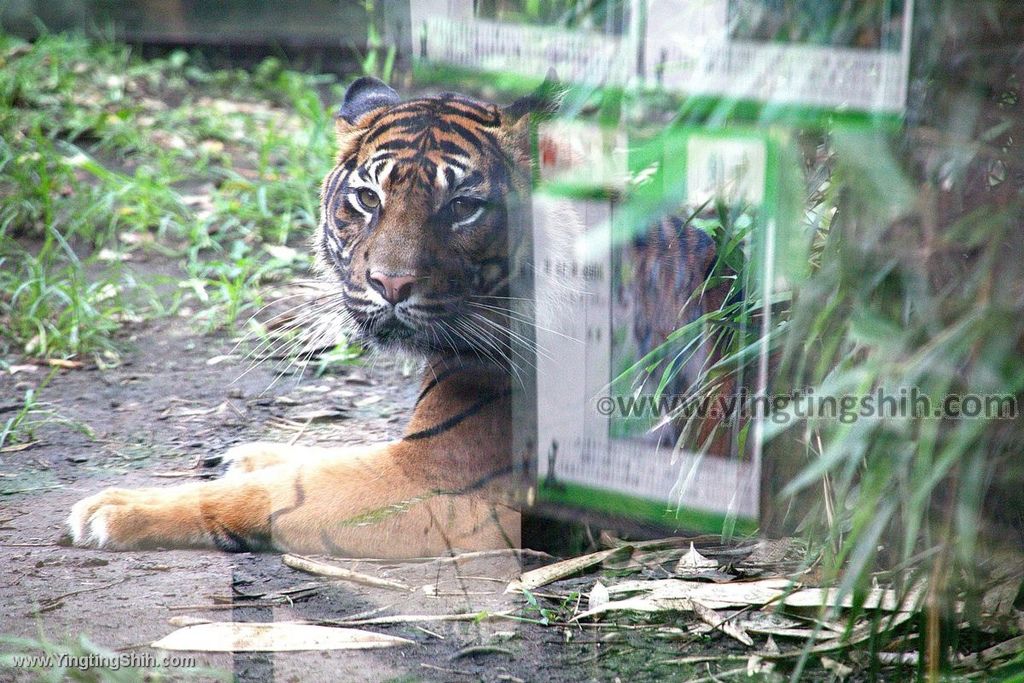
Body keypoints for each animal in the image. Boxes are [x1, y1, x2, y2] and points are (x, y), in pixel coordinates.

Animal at [65, 77, 548, 557]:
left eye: (463, 206)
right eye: (368, 198)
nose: (390, 284)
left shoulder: (445, 482)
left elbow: (275, 491)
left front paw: (116, 507)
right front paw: (247, 455)